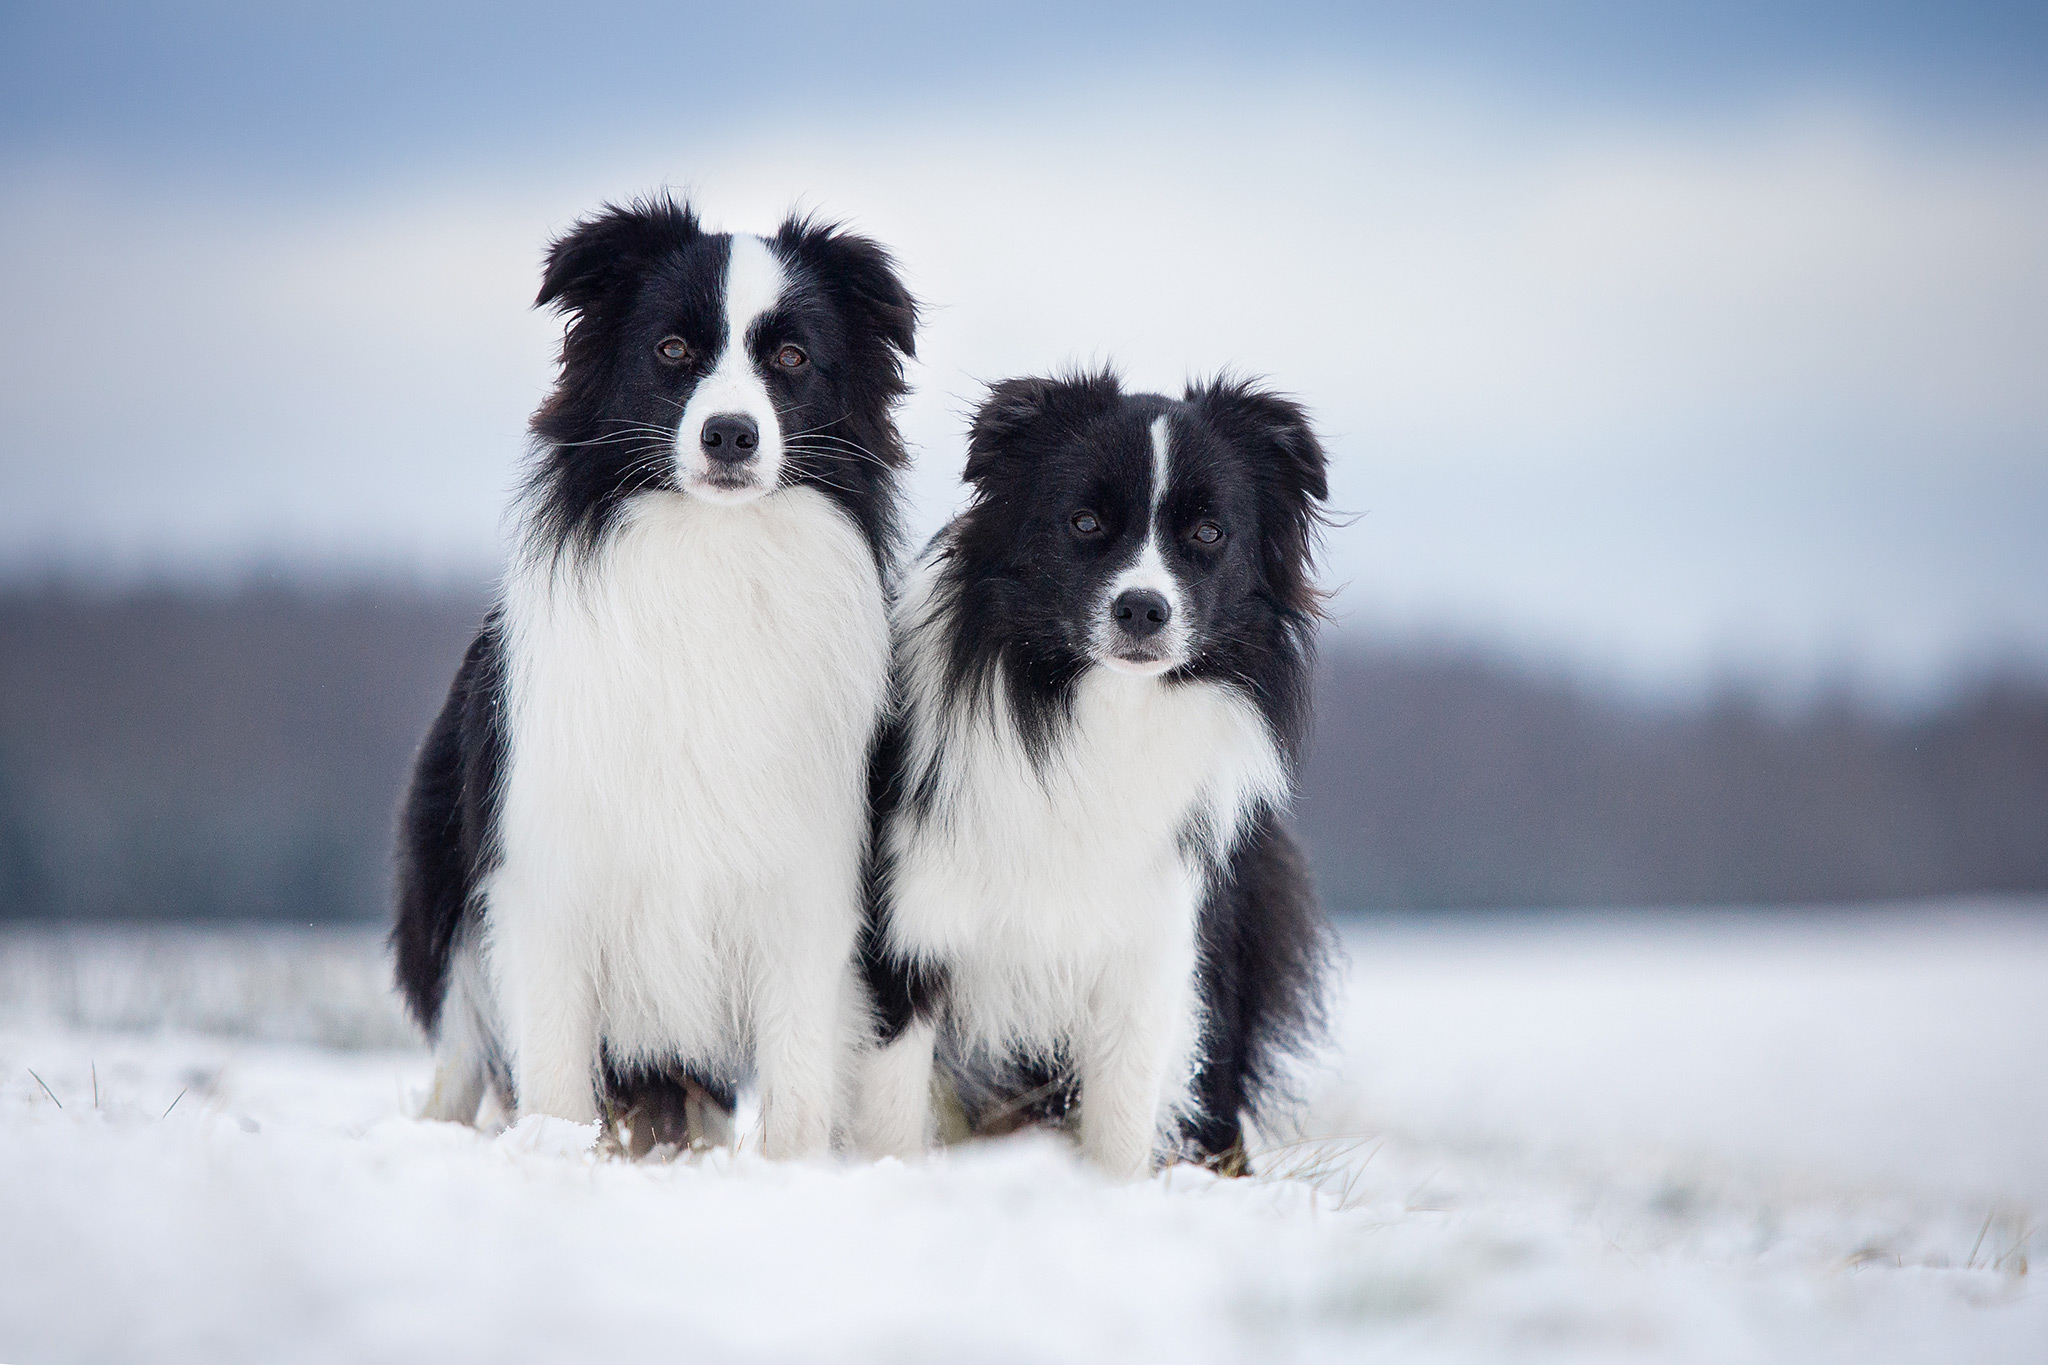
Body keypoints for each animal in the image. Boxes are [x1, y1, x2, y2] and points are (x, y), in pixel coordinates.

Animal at [389, 192, 913, 1162]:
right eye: (671, 349)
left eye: (792, 358)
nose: (730, 434)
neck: (707, 552)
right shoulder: (547, 877)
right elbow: (556, 1076)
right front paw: (555, 1156)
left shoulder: (802, 888)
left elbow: (797, 1082)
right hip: (444, 892)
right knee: (458, 1049)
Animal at [856, 370, 1335, 1178]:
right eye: (1083, 523)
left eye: (1208, 533)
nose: (1143, 608)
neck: (1099, 711)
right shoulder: (908, 935)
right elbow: (889, 1114)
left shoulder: (1147, 947)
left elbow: (1120, 1123)